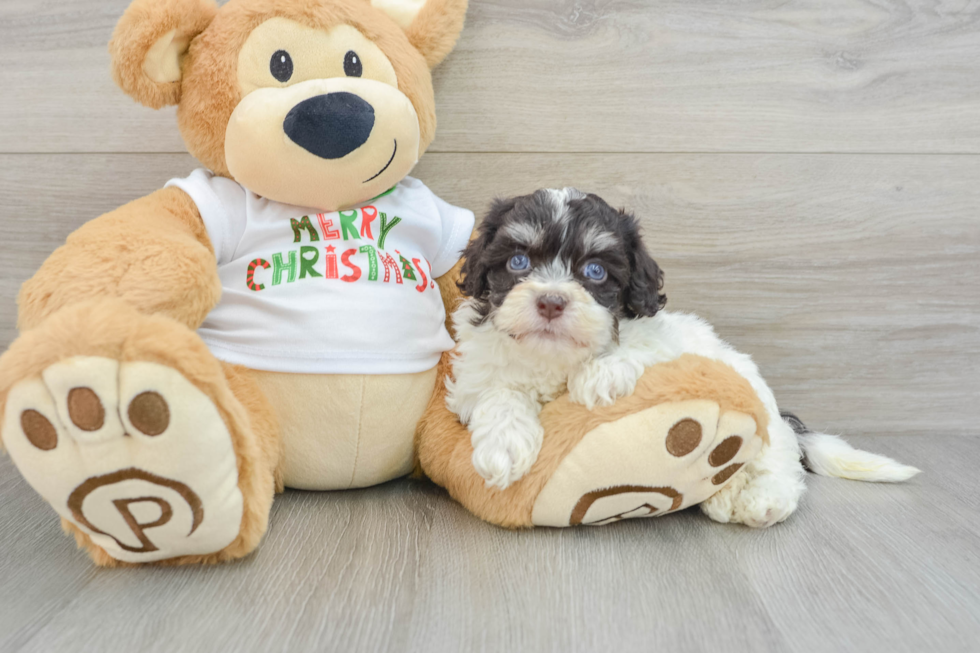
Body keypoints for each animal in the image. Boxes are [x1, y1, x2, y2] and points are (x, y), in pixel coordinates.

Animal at [444, 187, 920, 524]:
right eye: (518, 262)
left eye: (595, 271)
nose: (550, 301)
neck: (554, 358)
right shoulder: (474, 376)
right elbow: (498, 392)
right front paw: (505, 446)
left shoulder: (666, 341)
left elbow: (641, 345)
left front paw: (600, 374)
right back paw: (725, 496)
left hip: (761, 411)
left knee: (778, 462)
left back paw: (761, 500)